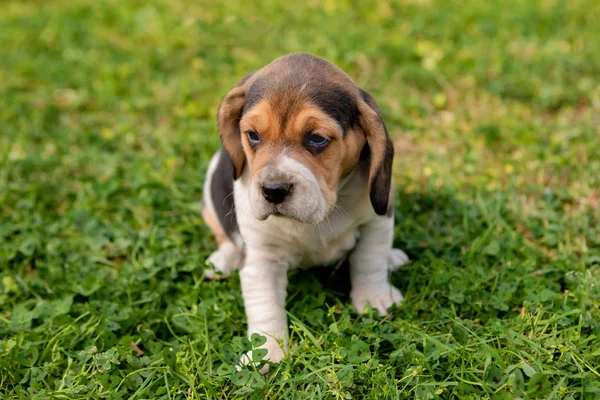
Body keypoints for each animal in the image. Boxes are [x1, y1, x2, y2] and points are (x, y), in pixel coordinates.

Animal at [204, 53, 410, 368]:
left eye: (316, 138)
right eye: (252, 135)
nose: (273, 190)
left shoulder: (376, 222)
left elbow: (369, 261)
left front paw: (374, 299)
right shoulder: (261, 256)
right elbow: (265, 304)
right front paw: (267, 351)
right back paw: (223, 260)